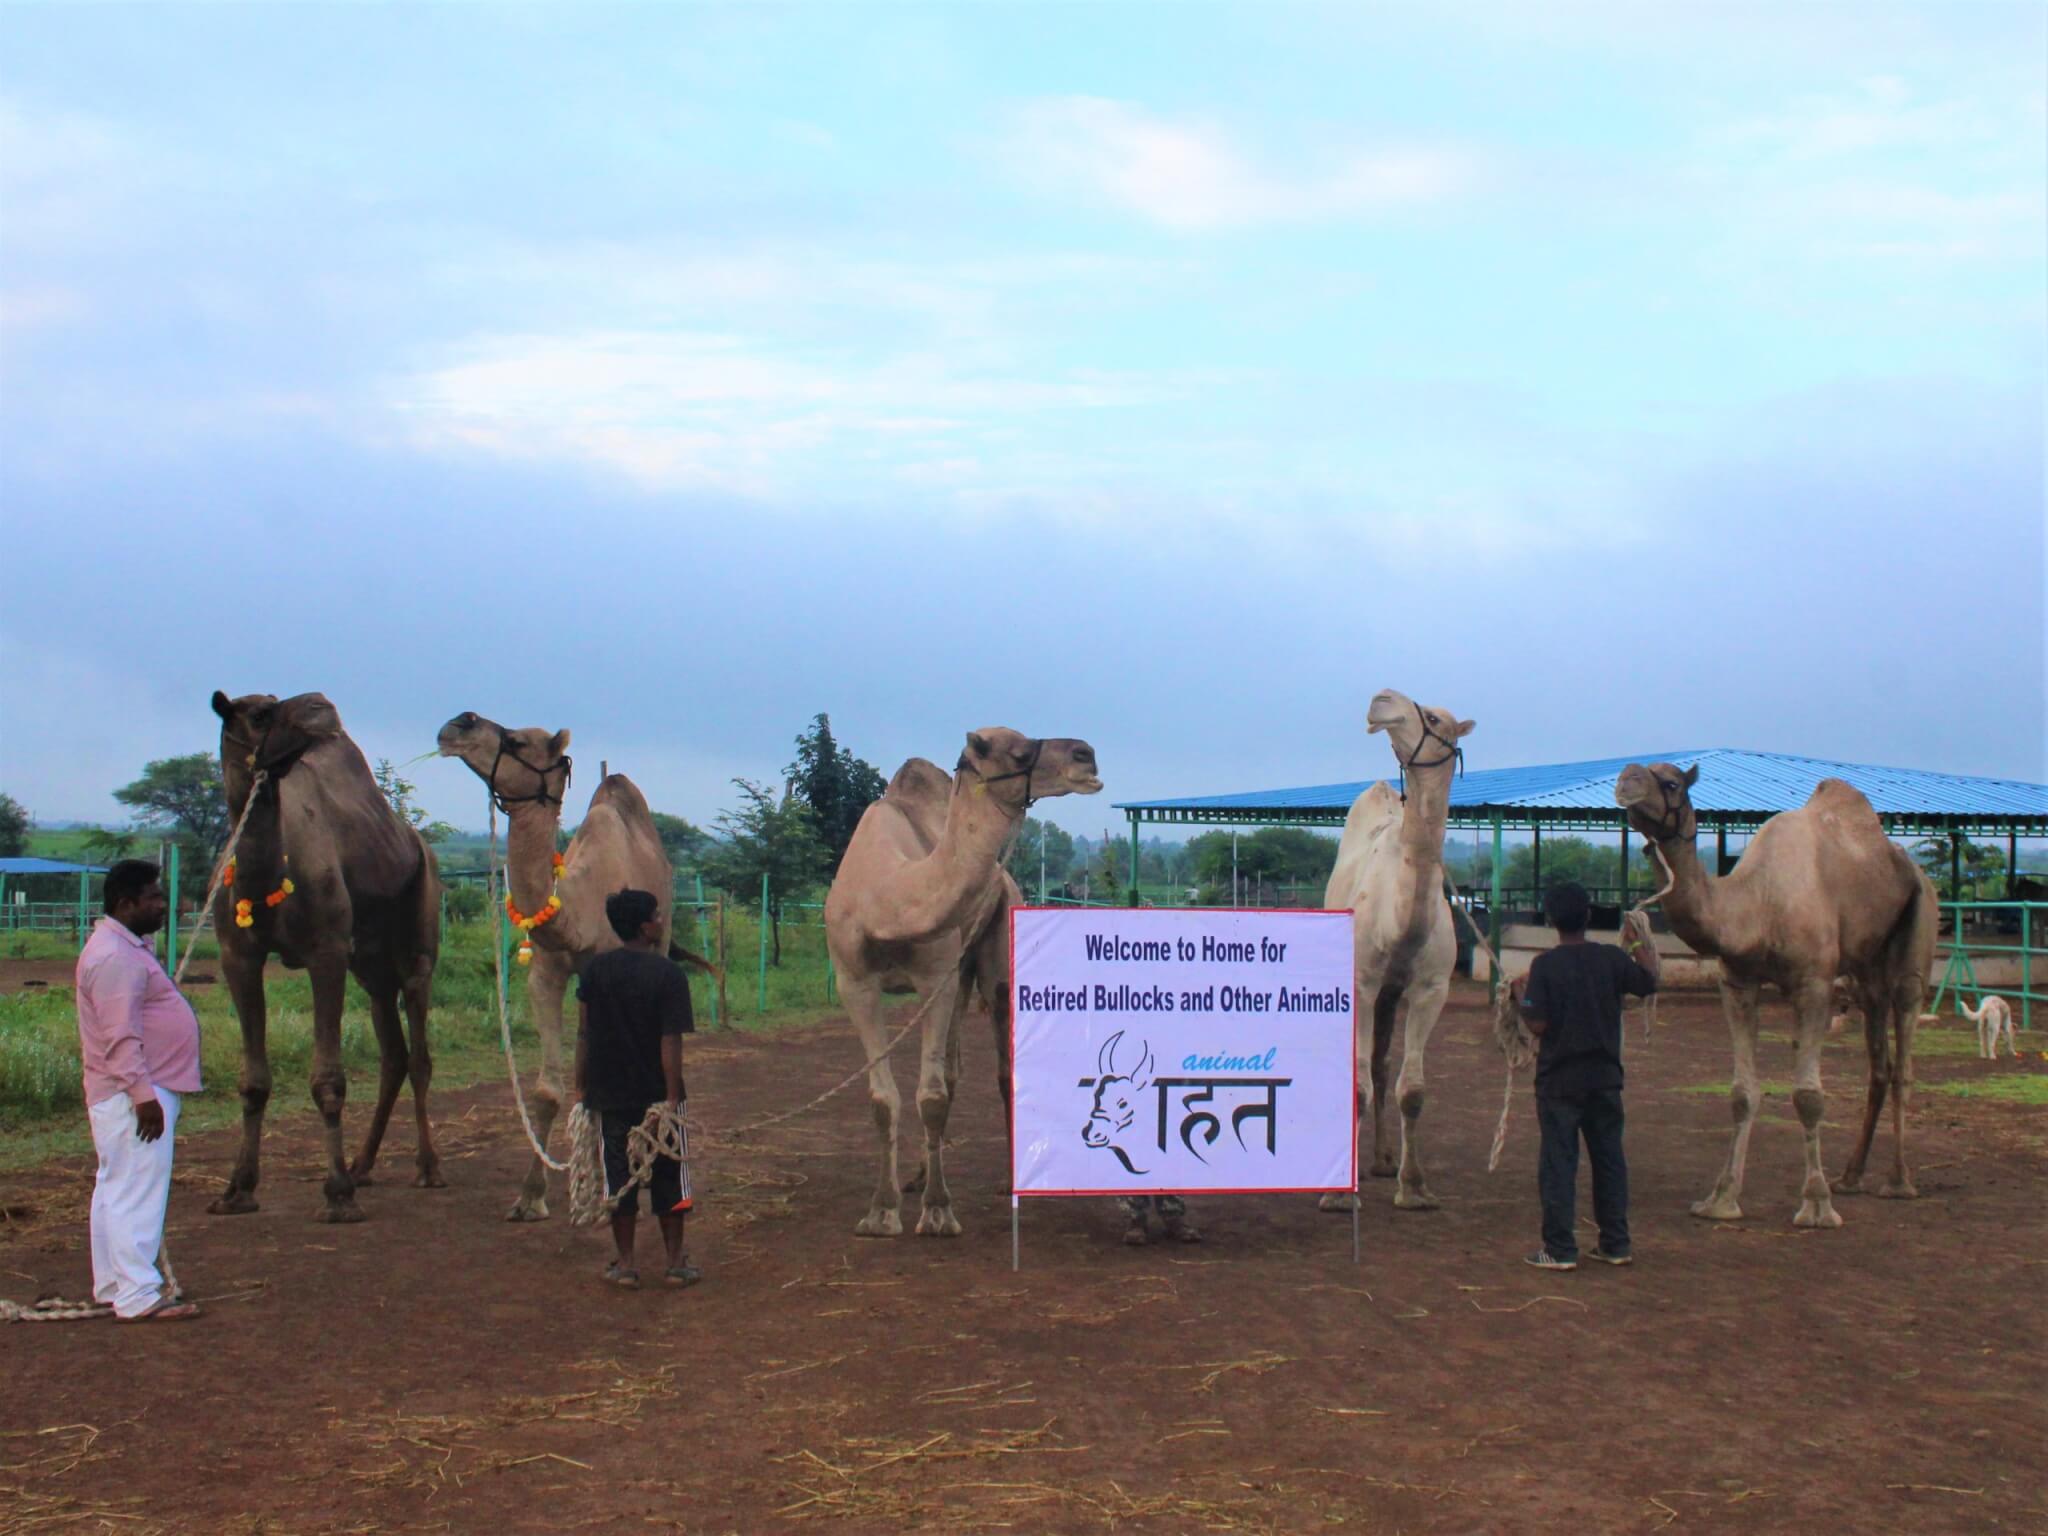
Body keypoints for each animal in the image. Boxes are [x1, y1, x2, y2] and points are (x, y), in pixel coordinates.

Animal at [207, 696, 444, 1228]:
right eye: (258, 713)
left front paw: (337, 1196)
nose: (321, 706)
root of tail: (417, 842)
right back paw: (362, 1165)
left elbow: (329, 1080)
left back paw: (427, 1168)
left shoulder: (327, 952)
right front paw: (237, 1190)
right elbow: (253, 1081)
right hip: (371, 967)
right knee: (392, 1052)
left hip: (418, 938)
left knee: (419, 1052)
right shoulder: (237, 957)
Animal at [438, 712, 679, 1228]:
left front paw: (614, 1189)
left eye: (517, 741)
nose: (457, 723)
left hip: (662, 940)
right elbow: (550, 1089)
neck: (579, 909)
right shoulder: (547, 973)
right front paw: (530, 1197)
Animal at [823, 729, 1105, 1245]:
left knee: (1002, 1069)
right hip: (959, 970)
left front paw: (938, 1212)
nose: (1085, 755)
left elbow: (930, 1095)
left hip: (995, 955)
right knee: (952, 1071)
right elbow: (884, 1098)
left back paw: (1008, 1180)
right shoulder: (855, 983)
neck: (886, 895)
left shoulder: (937, 975)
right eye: (1017, 750)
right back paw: (917, 1176)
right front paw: (882, 1210)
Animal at [1310, 696, 1474, 1212]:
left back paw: (1381, 1159)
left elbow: (1413, 1089)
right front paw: (1339, 1195)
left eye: (1436, 718)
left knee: (1381, 1064)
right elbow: (1356, 1084)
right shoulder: (1361, 982)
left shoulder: (1428, 988)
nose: (1382, 701)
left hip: (1390, 992)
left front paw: (1415, 1186)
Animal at [1613, 765, 1933, 1228]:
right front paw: (1721, 1199)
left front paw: (1816, 1204)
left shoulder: (1814, 982)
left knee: (1905, 1040)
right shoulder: (1738, 981)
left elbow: (1808, 1096)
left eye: (1672, 782)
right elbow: (1742, 1094)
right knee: (1878, 1053)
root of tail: (1912, 867)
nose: (1626, 780)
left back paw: (1898, 1181)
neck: (1757, 903)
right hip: (1865, 968)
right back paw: (1850, 1176)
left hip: (1919, 924)